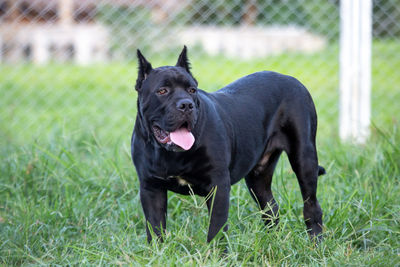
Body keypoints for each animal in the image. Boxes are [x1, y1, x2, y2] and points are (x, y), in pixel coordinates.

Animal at [131, 47, 324, 244]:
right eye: (162, 91)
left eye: (192, 90)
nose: (186, 104)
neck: (171, 154)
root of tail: (291, 78)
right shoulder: (151, 188)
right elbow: (155, 229)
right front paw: (157, 250)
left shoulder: (218, 186)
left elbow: (216, 228)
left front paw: (216, 252)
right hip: (258, 177)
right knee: (270, 208)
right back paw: (275, 241)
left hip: (304, 159)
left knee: (311, 205)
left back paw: (315, 241)